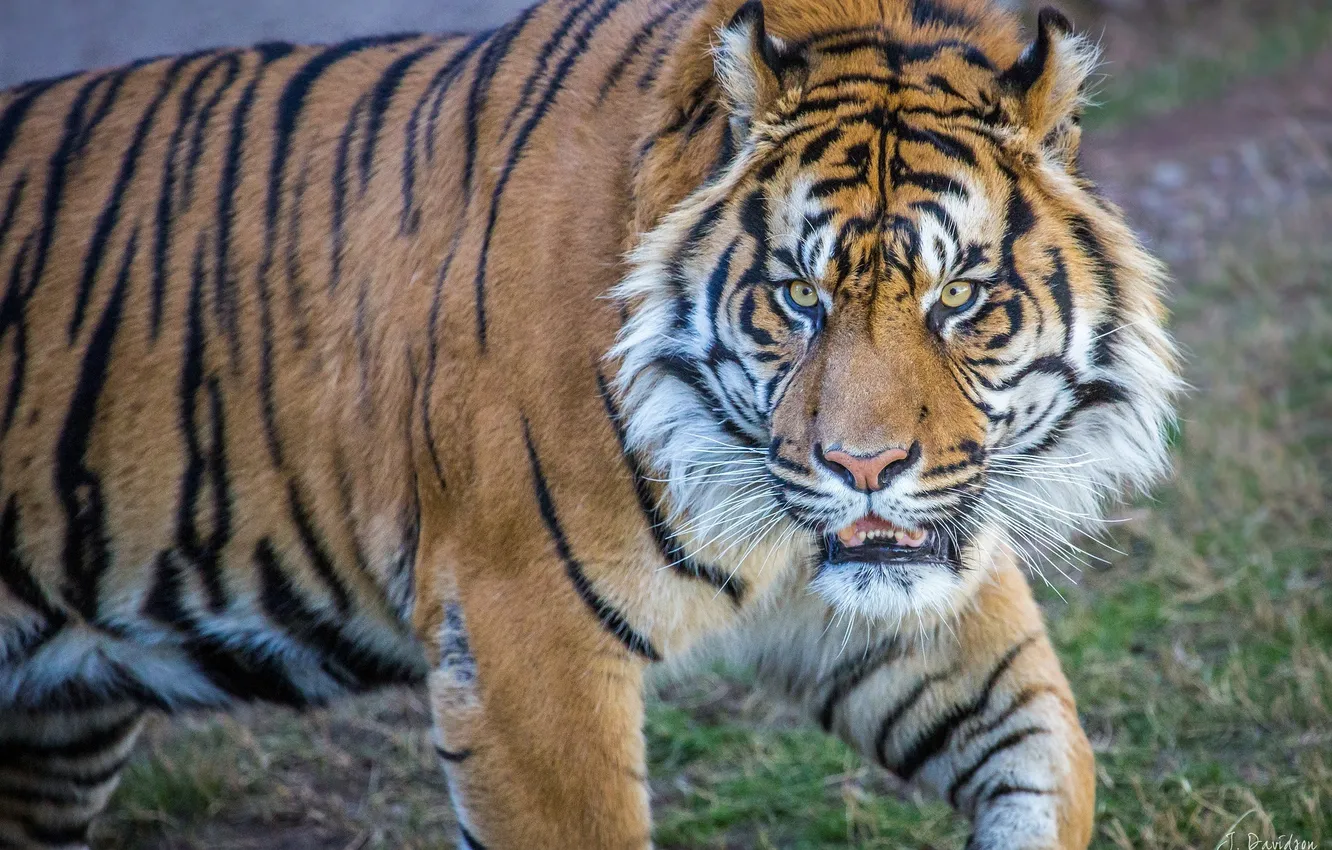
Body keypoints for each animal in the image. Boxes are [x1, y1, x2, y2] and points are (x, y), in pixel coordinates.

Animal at [0, 0, 1181, 845]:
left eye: (960, 299)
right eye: (799, 297)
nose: (862, 466)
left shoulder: (897, 607)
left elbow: (1056, 759)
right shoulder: (522, 641)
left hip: (58, 730)